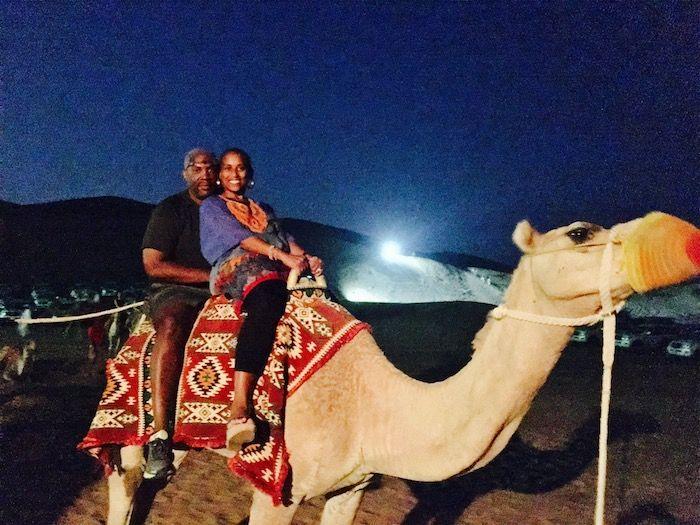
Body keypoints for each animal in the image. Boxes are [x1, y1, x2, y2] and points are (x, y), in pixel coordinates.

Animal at [106, 212, 696, 524]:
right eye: (578, 233)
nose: (682, 239)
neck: (375, 405)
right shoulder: (277, 489)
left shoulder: (352, 486)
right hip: (129, 431)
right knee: (126, 482)